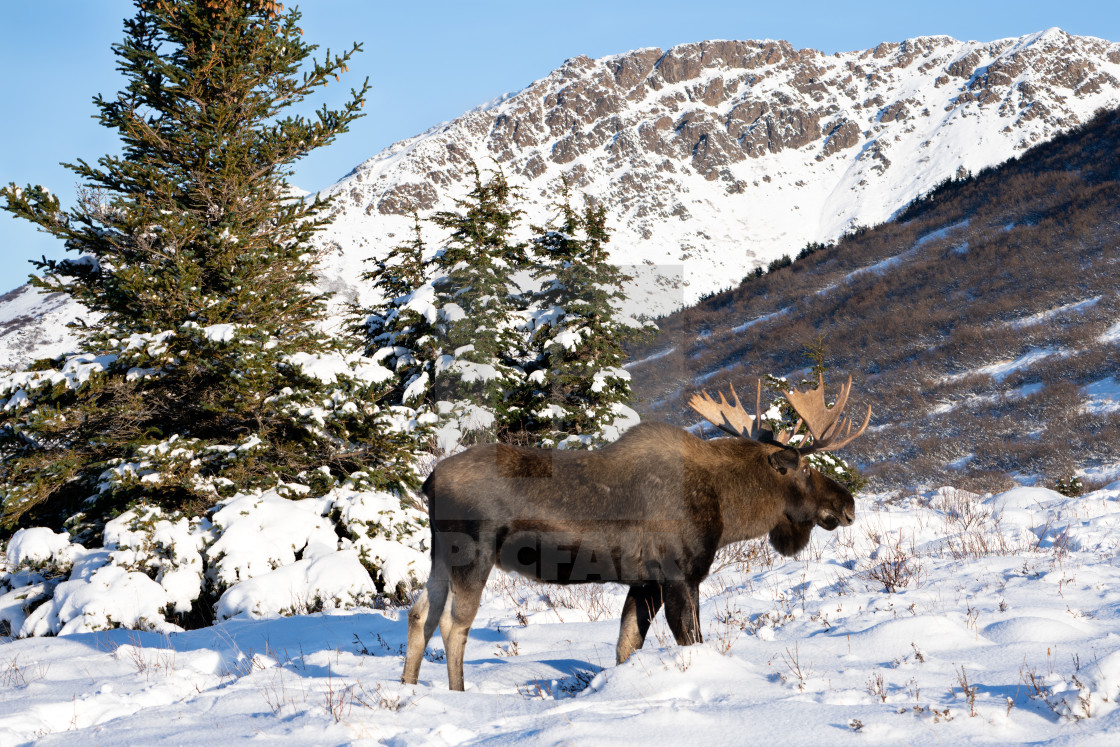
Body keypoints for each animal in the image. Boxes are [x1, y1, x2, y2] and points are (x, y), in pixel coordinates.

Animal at [398, 376, 869, 694]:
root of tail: (428, 481)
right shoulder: (680, 576)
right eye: (805, 469)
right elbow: (692, 640)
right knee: (452, 624)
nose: (848, 505)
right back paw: (460, 695)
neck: (729, 508)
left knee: (420, 614)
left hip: (440, 556)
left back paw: (408, 689)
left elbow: (627, 646)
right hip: (471, 553)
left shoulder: (644, 582)